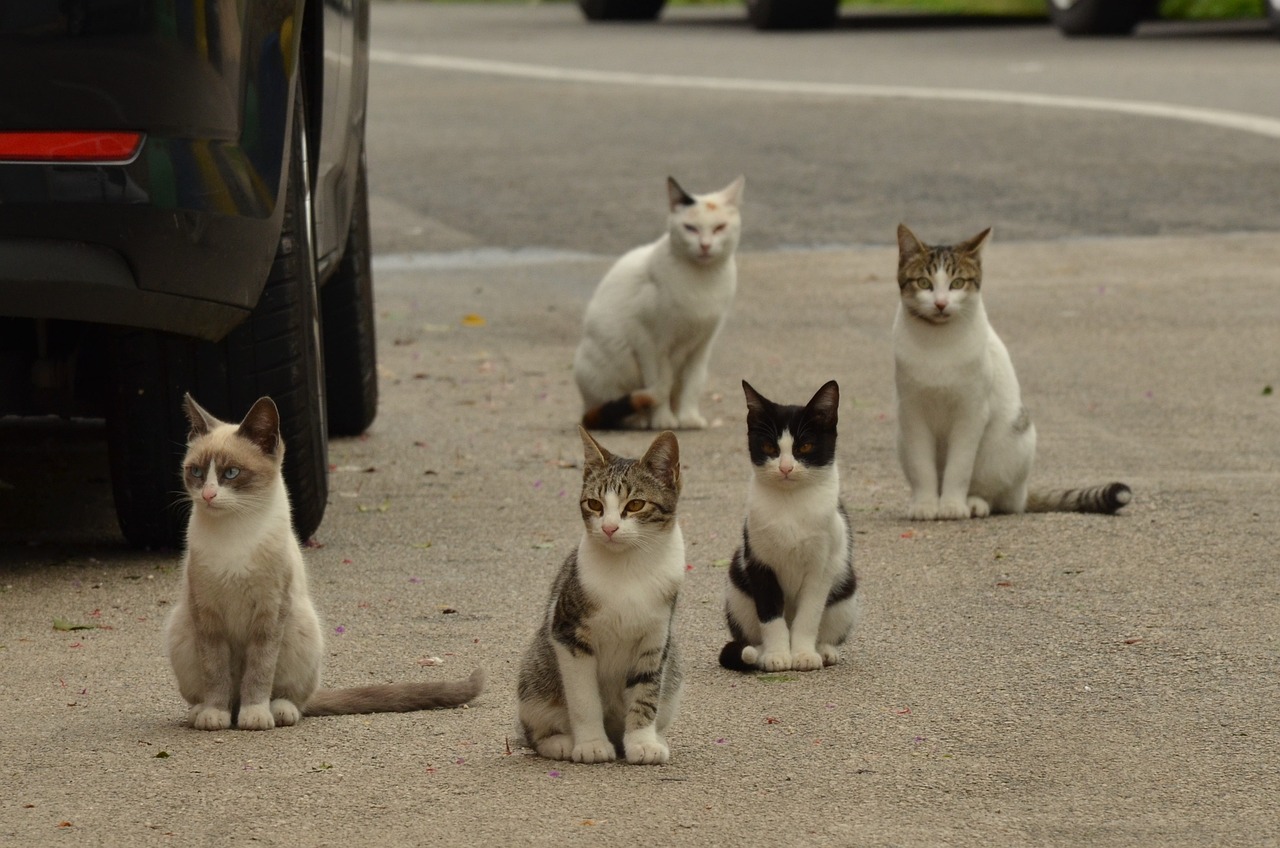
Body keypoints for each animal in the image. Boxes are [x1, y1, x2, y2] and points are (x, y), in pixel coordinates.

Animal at [160, 394, 481, 732]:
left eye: (231, 473)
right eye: (196, 472)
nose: (208, 495)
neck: (235, 534)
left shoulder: (269, 614)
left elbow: (259, 672)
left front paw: (255, 715)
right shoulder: (207, 617)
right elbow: (215, 672)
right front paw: (215, 714)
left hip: (301, 626)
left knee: (293, 698)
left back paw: (276, 711)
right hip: (182, 629)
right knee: (216, 692)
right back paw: (205, 711)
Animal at [514, 427, 686, 768]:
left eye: (635, 504)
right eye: (594, 504)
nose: (608, 527)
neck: (630, 567)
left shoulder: (656, 639)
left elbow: (646, 692)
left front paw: (642, 742)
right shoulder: (568, 634)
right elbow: (584, 699)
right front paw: (592, 744)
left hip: (672, 672)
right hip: (535, 677)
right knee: (534, 730)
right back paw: (559, 742)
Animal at [576, 178, 747, 432]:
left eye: (719, 228)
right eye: (690, 228)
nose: (705, 245)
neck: (702, 280)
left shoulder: (703, 344)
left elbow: (693, 383)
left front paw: (688, 417)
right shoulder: (651, 343)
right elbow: (660, 384)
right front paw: (663, 419)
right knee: (613, 407)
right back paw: (637, 419)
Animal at [721, 381, 860, 676]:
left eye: (805, 446)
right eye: (768, 447)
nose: (786, 468)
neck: (791, 504)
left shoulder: (822, 566)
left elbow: (809, 615)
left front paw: (804, 654)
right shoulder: (759, 562)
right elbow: (770, 615)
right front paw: (777, 655)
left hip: (846, 590)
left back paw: (825, 650)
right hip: (737, 588)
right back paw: (760, 653)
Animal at [890, 222, 1131, 522]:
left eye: (957, 283)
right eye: (924, 283)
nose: (941, 304)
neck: (937, 343)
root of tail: (1024, 492)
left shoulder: (971, 411)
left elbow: (959, 467)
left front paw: (952, 505)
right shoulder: (912, 412)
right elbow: (922, 467)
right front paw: (925, 504)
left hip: (1010, 442)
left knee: (999, 497)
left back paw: (974, 502)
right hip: (901, 439)